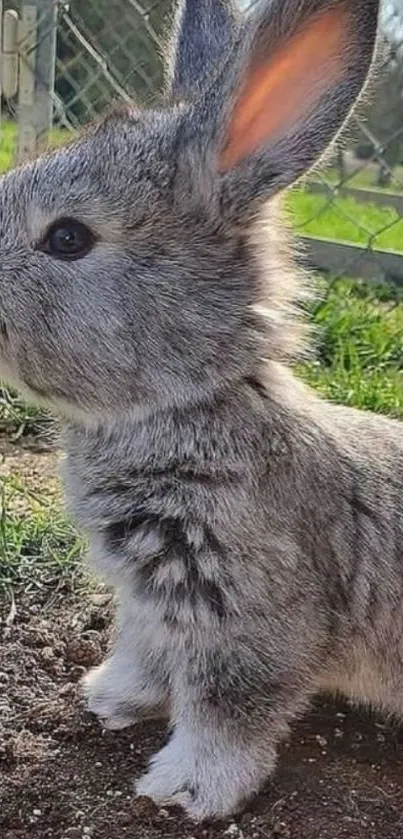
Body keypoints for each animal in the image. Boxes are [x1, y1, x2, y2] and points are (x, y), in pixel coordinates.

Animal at [0, 0, 394, 824]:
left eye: (68, 237)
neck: (188, 401)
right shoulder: (150, 602)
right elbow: (145, 654)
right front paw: (107, 697)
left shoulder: (246, 611)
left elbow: (226, 709)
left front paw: (184, 788)